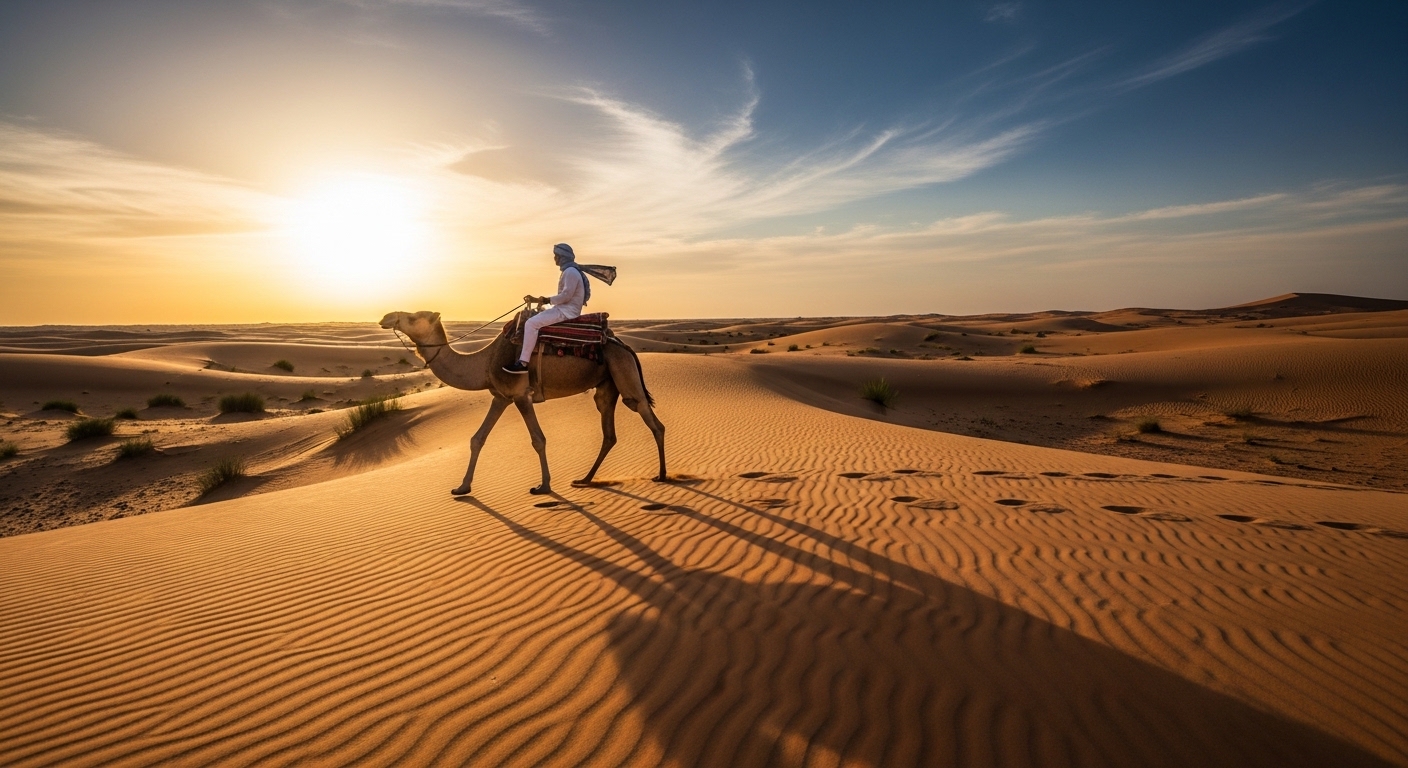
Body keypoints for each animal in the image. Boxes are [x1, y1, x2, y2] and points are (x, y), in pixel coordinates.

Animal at [379, 309, 666, 496]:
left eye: (413, 317)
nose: (385, 317)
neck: (485, 362)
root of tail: (624, 346)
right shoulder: (501, 397)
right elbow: (477, 439)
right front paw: (462, 487)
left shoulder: (520, 396)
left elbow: (538, 439)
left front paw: (544, 486)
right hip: (606, 386)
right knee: (609, 432)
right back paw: (585, 479)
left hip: (624, 372)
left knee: (651, 419)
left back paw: (662, 476)